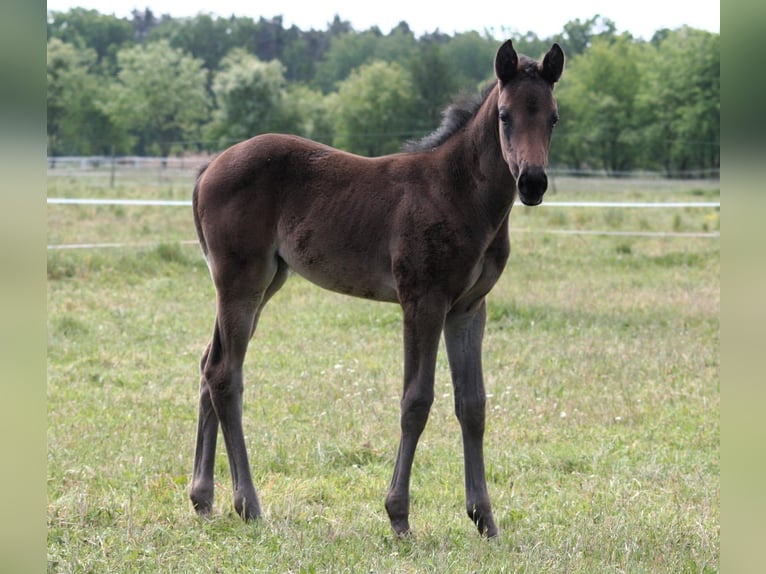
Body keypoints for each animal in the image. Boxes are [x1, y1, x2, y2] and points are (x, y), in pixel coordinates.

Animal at [190, 40, 564, 538]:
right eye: (505, 115)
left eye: (553, 117)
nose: (533, 182)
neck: (458, 194)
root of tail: (209, 168)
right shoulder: (422, 301)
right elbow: (416, 400)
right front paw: (398, 515)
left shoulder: (469, 308)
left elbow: (473, 404)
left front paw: (484, 518)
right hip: (241, 281)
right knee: (226, 374)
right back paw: (248, 504)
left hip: (263, 281)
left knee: (209, 364)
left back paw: (203, 497)